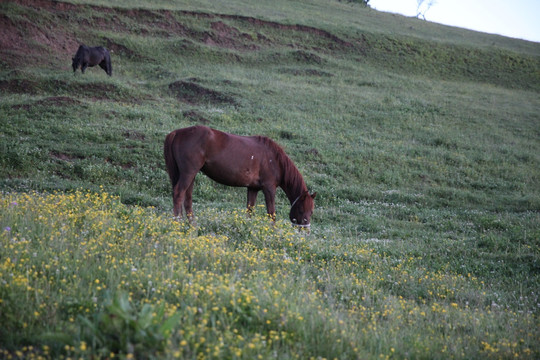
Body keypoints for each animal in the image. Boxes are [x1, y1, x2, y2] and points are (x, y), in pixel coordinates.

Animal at [165, 126, 316, 226]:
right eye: (301, 209)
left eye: (312, 211)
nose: (305, 230)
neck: (274, 159)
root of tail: (177, 132)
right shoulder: (269, 188)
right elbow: (271, 213)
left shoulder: (253, 188)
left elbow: (250, 211)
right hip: (188, 173)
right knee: (179, 193)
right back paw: (177, 222)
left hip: (190, 175)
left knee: (187, 198)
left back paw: (192, 225)